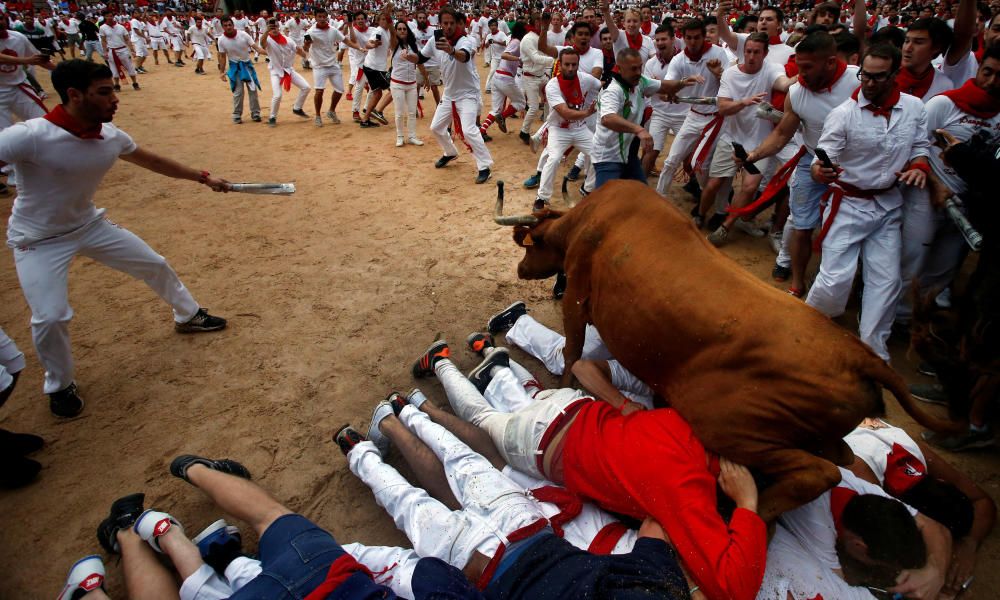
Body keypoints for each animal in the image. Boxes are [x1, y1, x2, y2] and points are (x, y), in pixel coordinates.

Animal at [496, 178, 956, 520]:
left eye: (531, 243)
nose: (519, 267)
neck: (590, 220)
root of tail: (859, 355)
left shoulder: (576, 295)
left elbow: (573, 350)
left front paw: (564, 383)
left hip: (729, 426)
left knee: (819, 473)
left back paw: (752, 514)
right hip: (806, 435)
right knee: (841, 458)